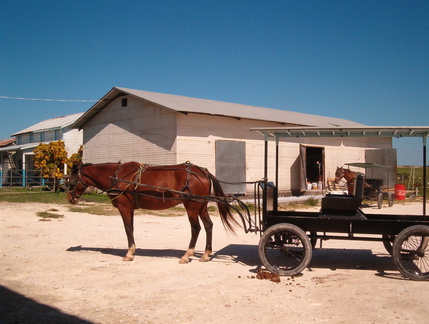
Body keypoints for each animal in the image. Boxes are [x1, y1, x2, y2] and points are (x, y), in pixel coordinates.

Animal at [67, 161, 241, 264]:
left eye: (71, 179)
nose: (70, 198)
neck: (117, 177)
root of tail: (202, 172)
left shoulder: (125, 207)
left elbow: (128, 229)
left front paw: (129, 253)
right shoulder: (129, 209)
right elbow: (131, 229)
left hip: (191, 206)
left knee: (195, 228)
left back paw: (187, 254)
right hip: (201, 206)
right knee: (208, 226)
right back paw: (205, 254)